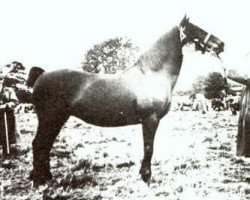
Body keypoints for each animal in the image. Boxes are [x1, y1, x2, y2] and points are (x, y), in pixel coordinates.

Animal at [27, 15, 225, 186]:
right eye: (196, 29)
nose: (221, 44)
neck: (153, 74)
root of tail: (43, 74)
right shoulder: (150, 119)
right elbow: (148, 148)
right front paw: (146, 178)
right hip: (50, 118)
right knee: (39, 144)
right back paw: (39, 180)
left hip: (57, 119)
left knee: (45, 145)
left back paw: (47, 177)